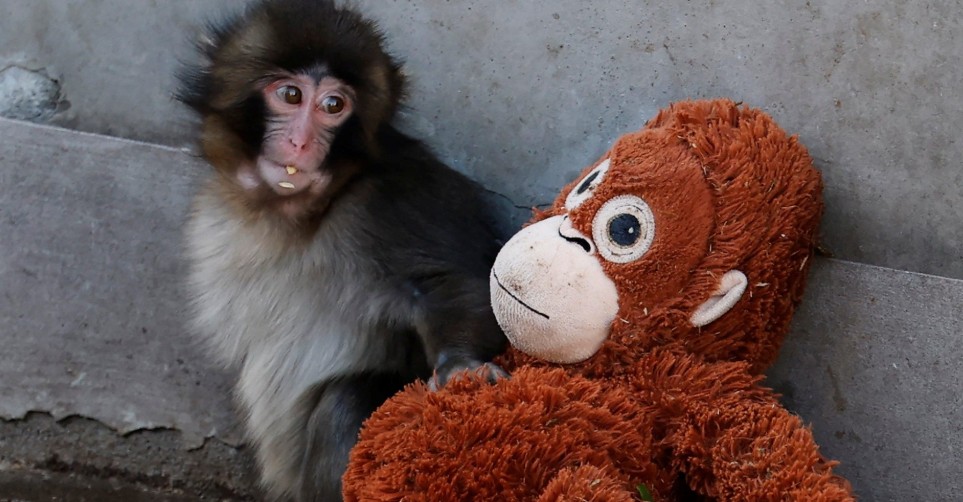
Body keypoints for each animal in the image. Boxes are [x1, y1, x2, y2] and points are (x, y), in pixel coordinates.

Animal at [175, 1, 508, 500]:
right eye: (290, 95)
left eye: (334, 105)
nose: (301, 142)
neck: (300, 213)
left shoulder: (396, 199)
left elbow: (448, 283)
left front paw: (462, 366)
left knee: (345, 403)